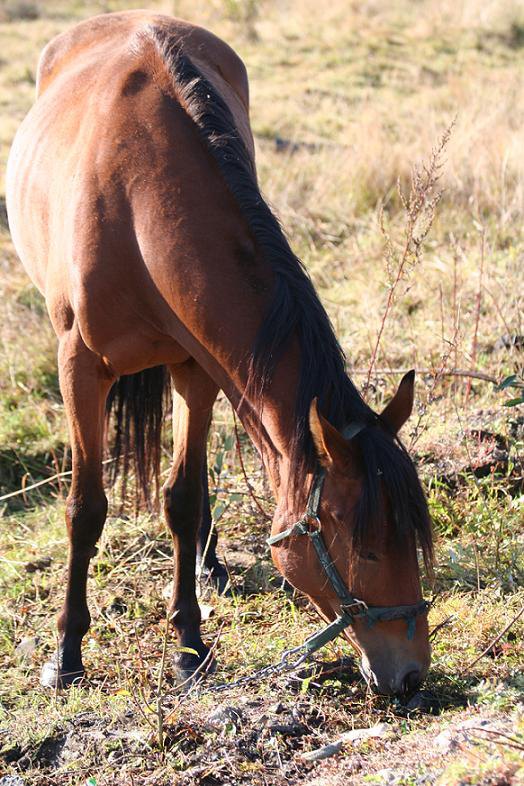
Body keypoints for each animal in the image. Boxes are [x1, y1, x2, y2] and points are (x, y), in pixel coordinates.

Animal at [7, 10, 434, 692]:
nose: (412, 675)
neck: (135, 204)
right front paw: (65, 652)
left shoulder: (196, 367)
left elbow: (182, 498)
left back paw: (210, 567)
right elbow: (85, 508)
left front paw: (188, 645)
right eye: (366, 549)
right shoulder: (79, 369)